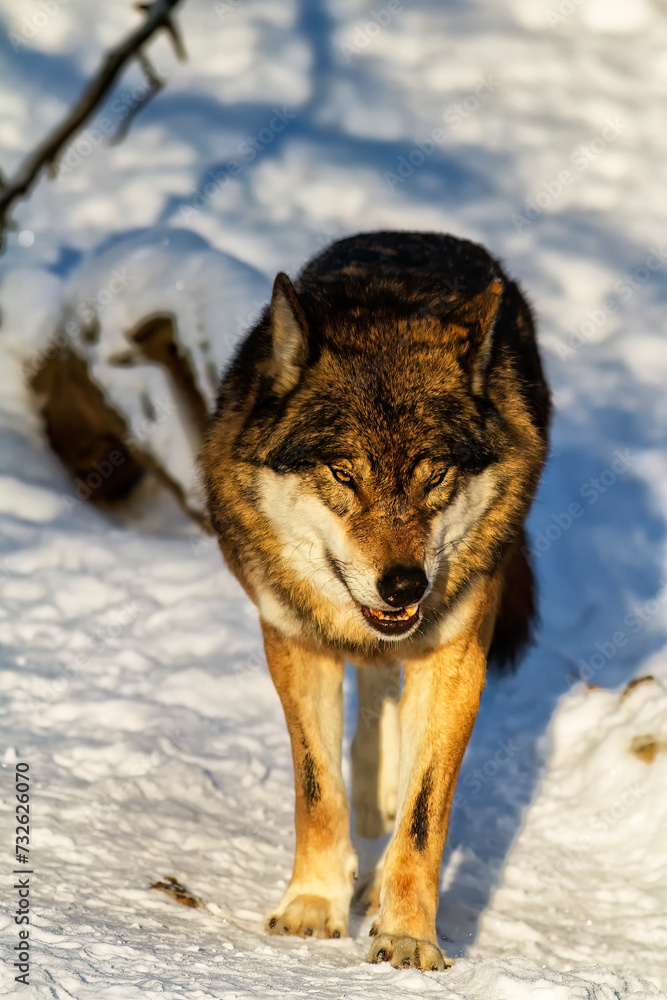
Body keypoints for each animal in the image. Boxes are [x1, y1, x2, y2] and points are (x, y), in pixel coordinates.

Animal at [201, 231, 550, 971]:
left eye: (434, 475)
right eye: (342, 474)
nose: (404, 585)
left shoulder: (454, 657)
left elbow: (423, 815)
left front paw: (408, 935)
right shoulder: (294, 641)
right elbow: (317, 790)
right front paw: (312, 905)